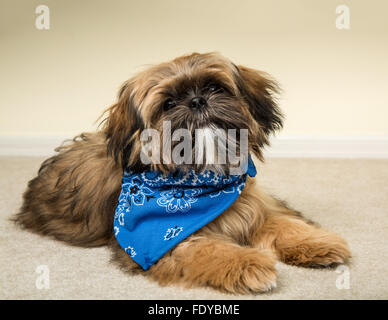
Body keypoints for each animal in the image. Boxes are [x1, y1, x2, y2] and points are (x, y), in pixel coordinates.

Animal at [13, 53, 350, 296]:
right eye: (169, 103)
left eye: (214, 87)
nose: (197, 101)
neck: (203, 181)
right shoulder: (163, 242)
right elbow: (209, 249)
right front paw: (248, 264)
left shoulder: (252, 205)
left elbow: (283, 223)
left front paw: (317, 243)